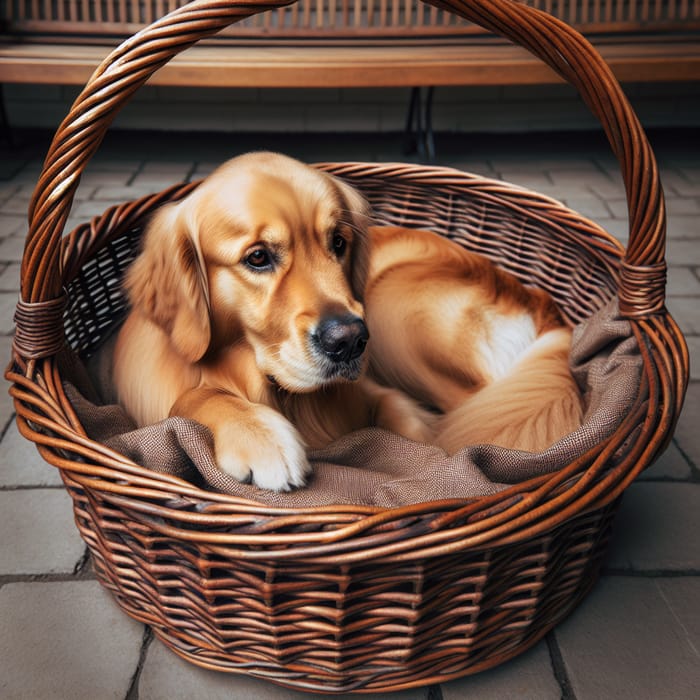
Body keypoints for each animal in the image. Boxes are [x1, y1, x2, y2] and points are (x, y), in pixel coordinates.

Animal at [115, 152, 584, 492]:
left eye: (338, 243)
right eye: (258, 257)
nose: (350, 341)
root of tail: (542, 304)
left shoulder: (380, 392)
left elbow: (416, 430)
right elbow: (193, 398)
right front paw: (261, 438)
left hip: (395, 307)